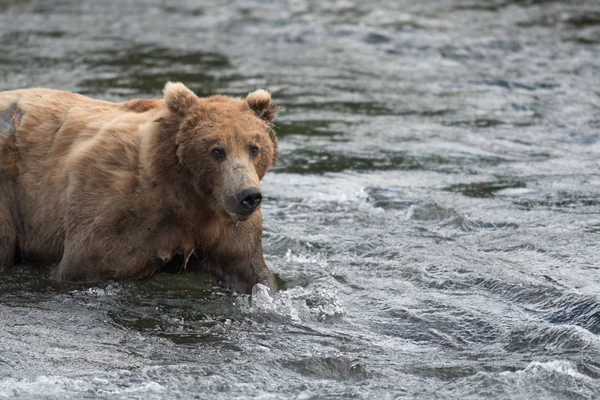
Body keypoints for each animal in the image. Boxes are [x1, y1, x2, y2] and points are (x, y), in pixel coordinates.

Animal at [0, 82, 282, 294]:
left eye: (254, 148)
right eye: (217, 151)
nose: (248, 196)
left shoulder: (224, 228)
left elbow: (251, 272)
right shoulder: (116, 214)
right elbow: (82, 266)